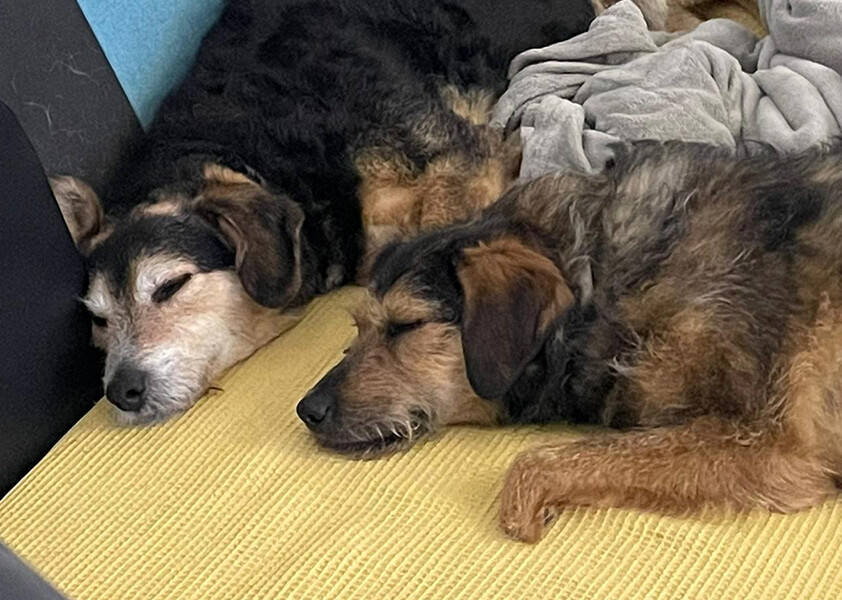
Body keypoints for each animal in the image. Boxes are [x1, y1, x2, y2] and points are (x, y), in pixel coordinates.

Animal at [299, 142, 842, 542]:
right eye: (357, 329)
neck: (600, 282)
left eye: (406, 326)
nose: (308, 411)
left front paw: (527, 510)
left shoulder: (772, 440)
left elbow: (536, 463)